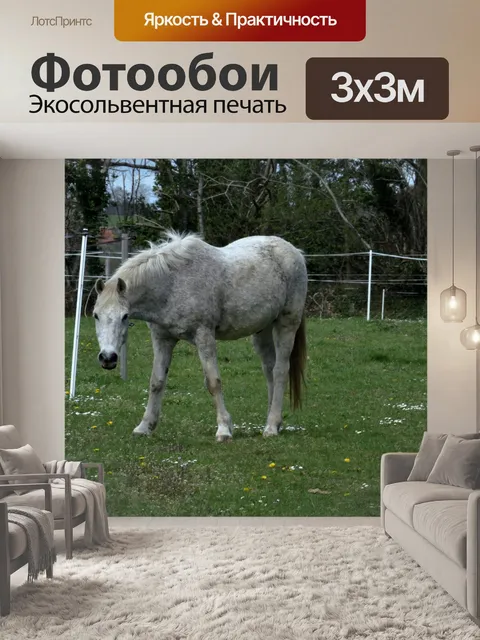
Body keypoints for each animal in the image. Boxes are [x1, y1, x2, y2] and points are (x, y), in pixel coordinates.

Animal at [93, 231, 308, 442]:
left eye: (124, 316)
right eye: (95, 315)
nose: (107, 358)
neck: (171, 284)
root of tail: (295, 252)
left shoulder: (203, 335)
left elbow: (213, 382)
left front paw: (224, 429)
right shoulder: (162, 339)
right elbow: (156, 382)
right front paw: (144, 426)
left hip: (286, 325)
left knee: (280, 371)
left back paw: (271, 426)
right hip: (263, 331)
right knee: (269, 370)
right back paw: (273, 422)